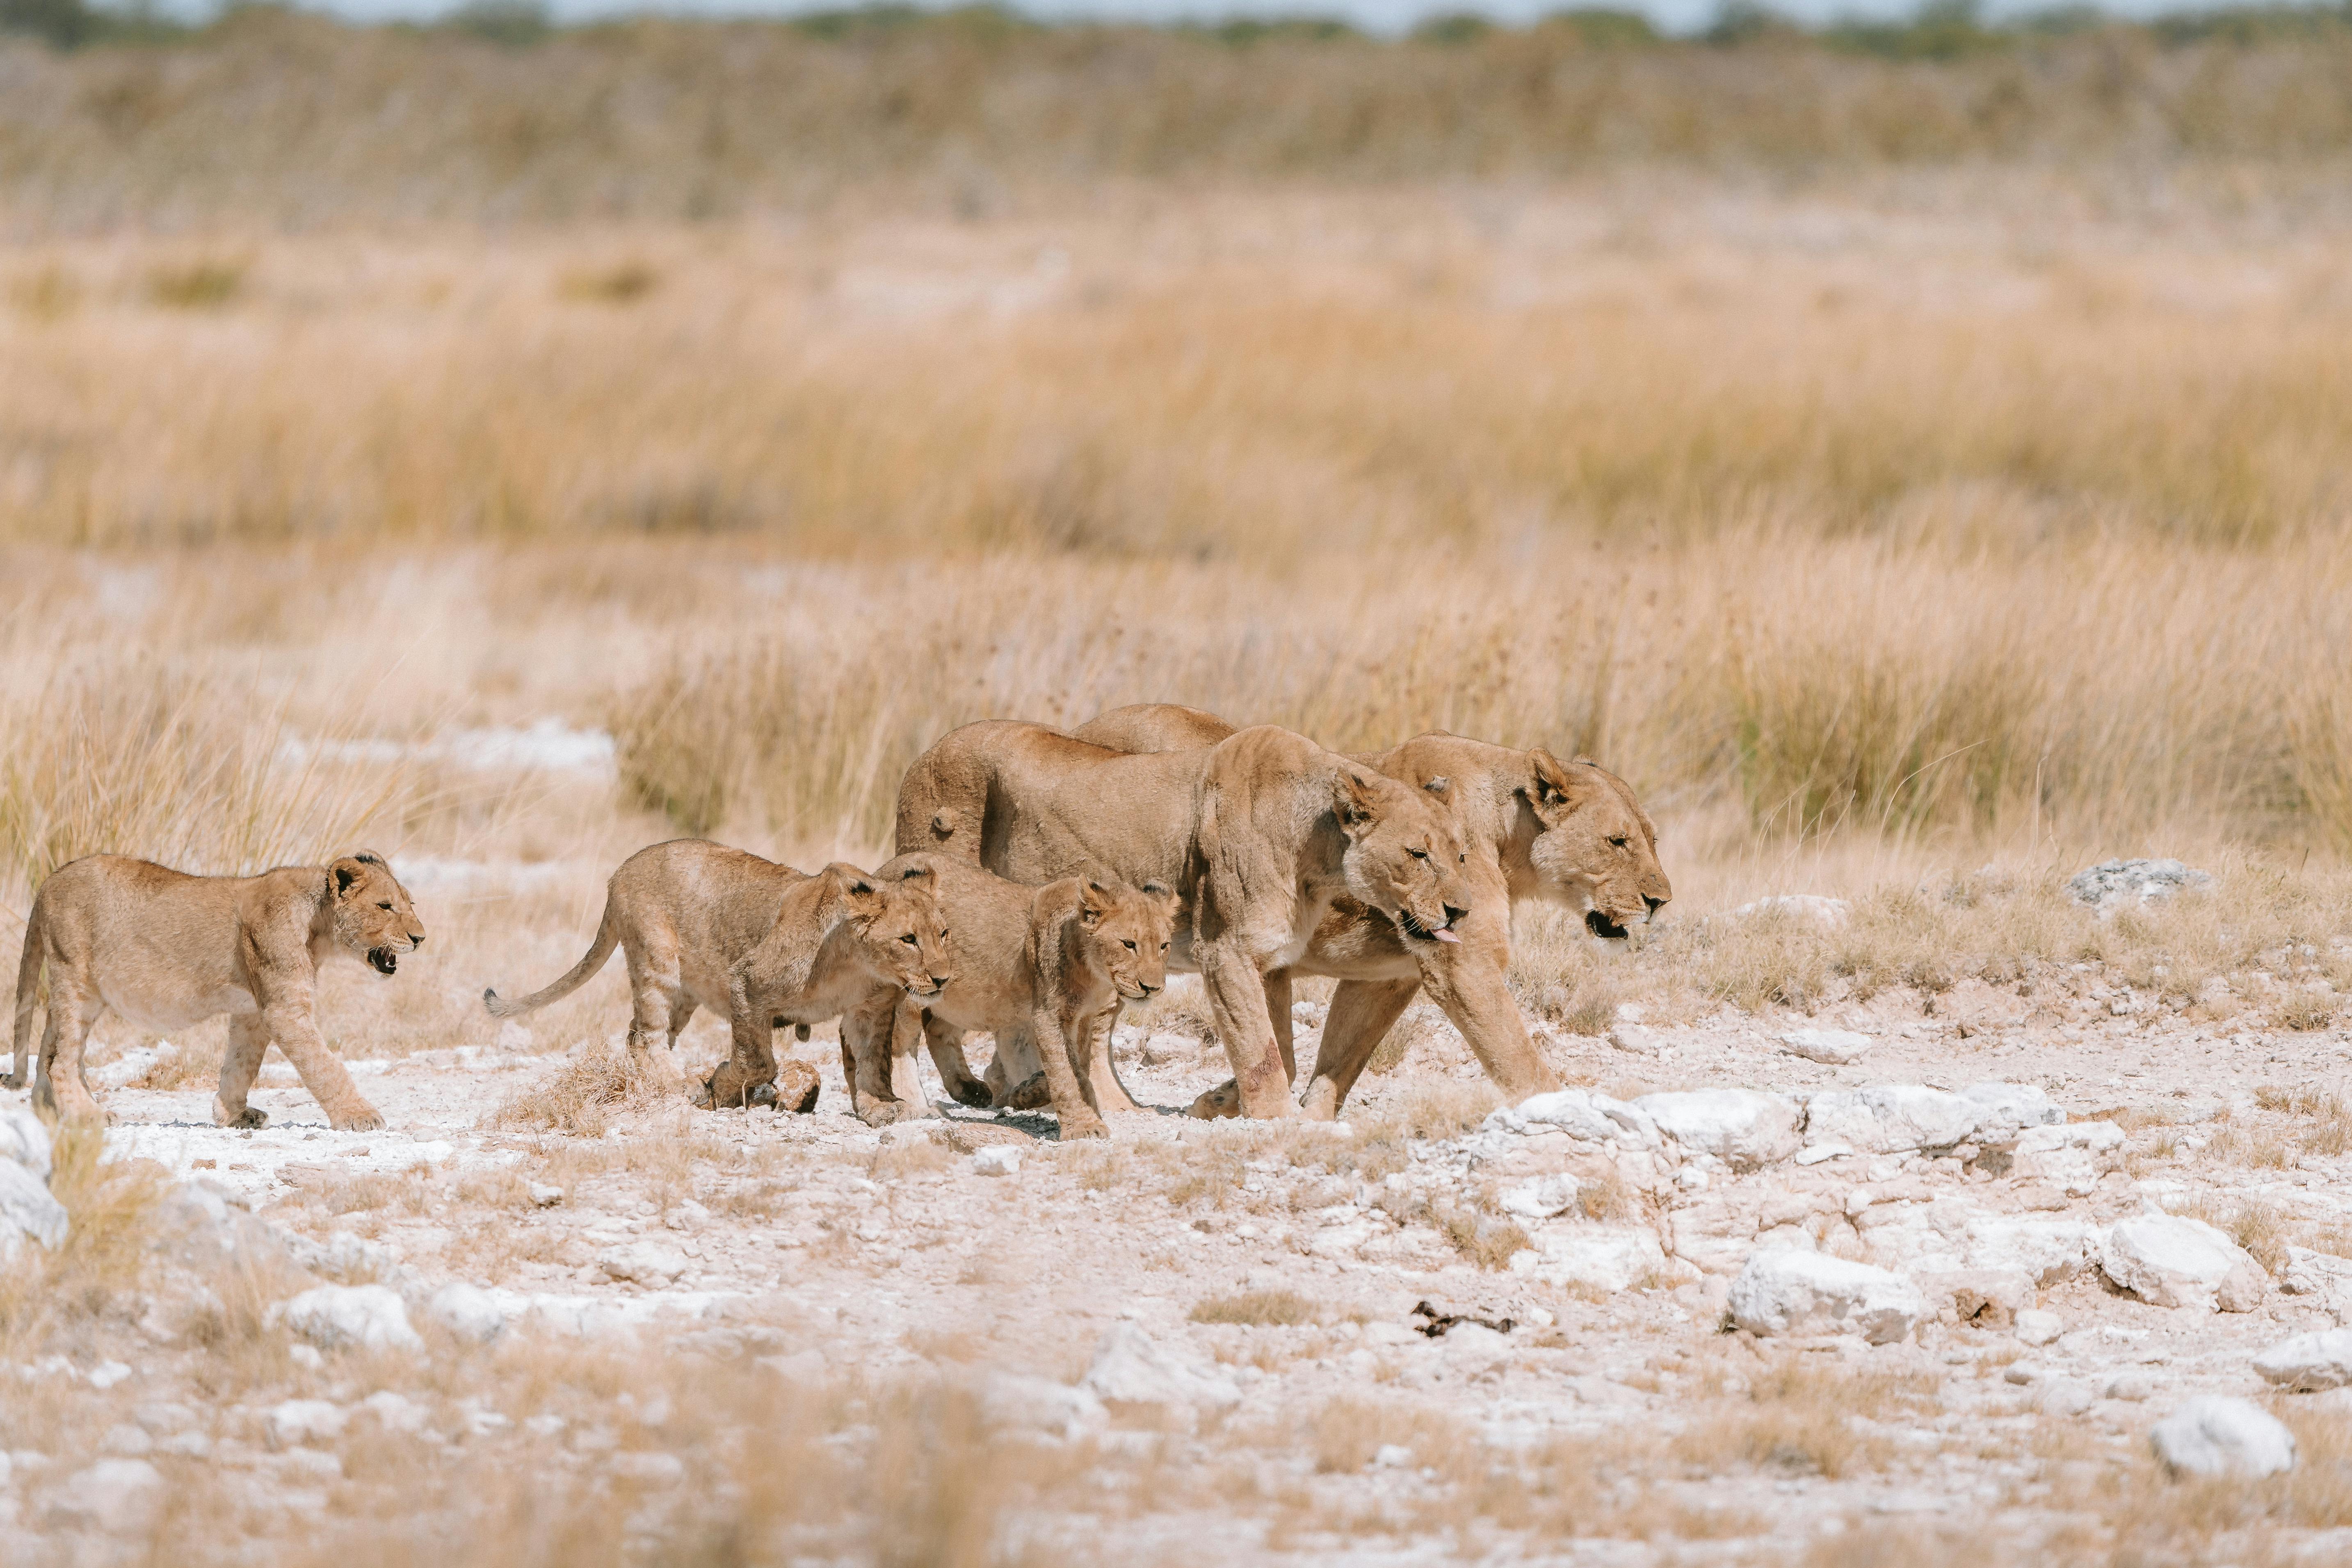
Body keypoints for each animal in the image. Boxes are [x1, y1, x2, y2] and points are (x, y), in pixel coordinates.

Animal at [9, 851, 423, 1131]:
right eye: (385, 906)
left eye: (411, 904)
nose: (420, 938)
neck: (318, 925)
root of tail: (49, 882)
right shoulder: (284, 1009)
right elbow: (325, 1065)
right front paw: (360, 1115)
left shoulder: (253, 1011)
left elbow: (242, 1063)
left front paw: (232, 1114)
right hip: (76, 980)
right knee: (62, 1061)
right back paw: (88, 1114)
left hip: (80, 991)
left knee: (51, 1047)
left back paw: (52, 1112)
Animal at [698, 857, 953, 1112]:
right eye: (908, 939)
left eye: (943, 934)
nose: (943, 979)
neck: (852, 963)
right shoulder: (748, 981)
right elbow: (756, 1063)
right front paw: (720, 1090)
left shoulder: (872, 1009)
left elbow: (874, 1059)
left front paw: (882, 1103)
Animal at [846, 859, 1176, 1134]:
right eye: (1129, 944)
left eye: (1164, 946)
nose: (1153, 987)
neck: (1094, 975)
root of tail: (878, 873)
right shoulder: (1049, 1015)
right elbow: (1067, 1074)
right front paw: (1084, 1127)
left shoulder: (1083, 1018)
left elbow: (1077, 1069)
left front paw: (1026, 1092)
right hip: (915, 987)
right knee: (899, 1044)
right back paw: (915, 1105)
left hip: (957, 994)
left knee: (938, 1030)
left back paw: (969, 1090)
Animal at [893, 721, 1474, 1120]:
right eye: (1418, 854)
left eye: (1461, 854)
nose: (1462, 910)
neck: (1318, 855)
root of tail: (922, 756)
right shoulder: (1226, 950)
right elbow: (1262, 1055)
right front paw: (1276, 1120)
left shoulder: (1267, 960)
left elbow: (1275, 1048)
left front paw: (1220, 1101)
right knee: (909, 1012)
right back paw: (916, 1100)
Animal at [1068, 706, 1671, 1119]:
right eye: (1617, 841)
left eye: (1653, 838)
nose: (1660, 900)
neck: (1505, 835)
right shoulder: (1463, 966)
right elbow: (1517, 1058)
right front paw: (1562, 1112)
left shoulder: (1387, 976)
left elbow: (1339, 1058)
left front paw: (1275, 1110)